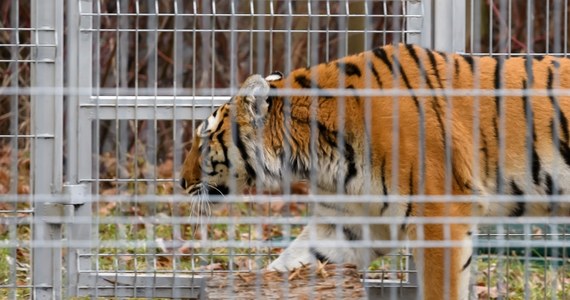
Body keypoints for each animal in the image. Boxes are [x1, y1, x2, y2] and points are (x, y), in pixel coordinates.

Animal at [180, 42, 568, 300]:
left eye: (203, 140)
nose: (180, 182)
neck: (319, 153)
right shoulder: (349, 221)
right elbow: (294, 259)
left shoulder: (439, 216)